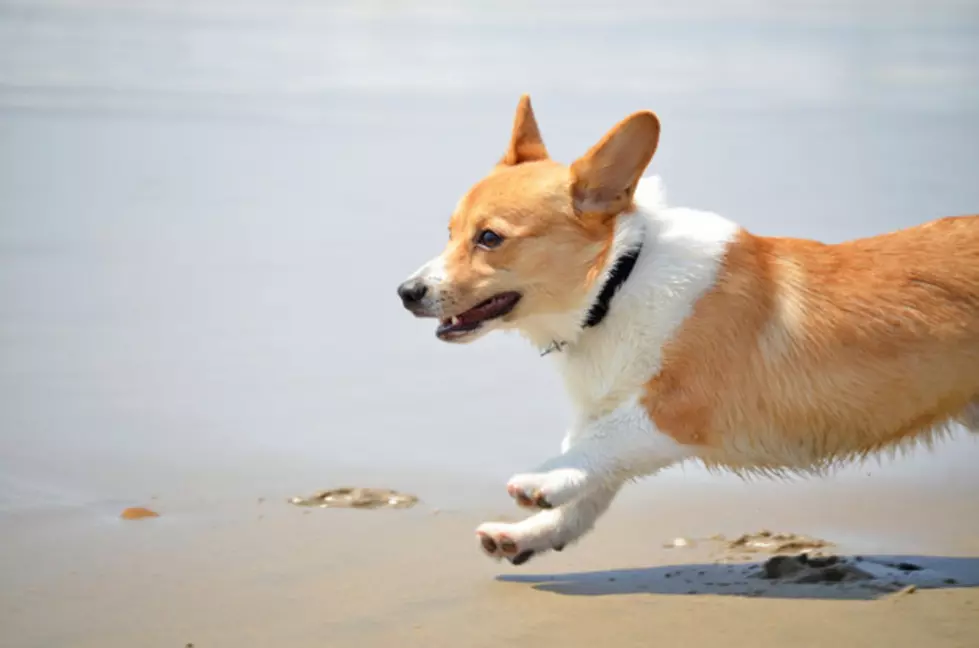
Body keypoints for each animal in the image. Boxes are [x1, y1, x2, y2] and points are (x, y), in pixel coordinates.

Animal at [394, 93, 976, 564]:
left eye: (490, 238)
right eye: (450, 232)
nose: (405, 292)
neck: (617, 282)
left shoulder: (676, 408)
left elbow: (600, 443)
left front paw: (541, 479)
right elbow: (594, 482)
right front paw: (531, 531)